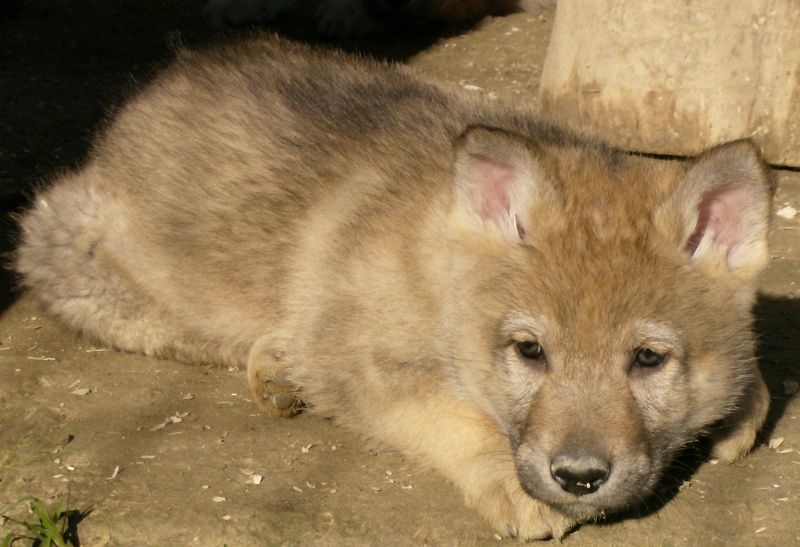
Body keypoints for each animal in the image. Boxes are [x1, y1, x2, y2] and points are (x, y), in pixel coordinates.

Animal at [15, 37, 772, 540]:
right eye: (530, 351)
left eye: (648, 359)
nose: (579, 477)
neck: (440, 271)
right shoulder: (360, 361)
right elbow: (457, 415)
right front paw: (513, 483)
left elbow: (756, 385)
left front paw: (738, 406)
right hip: (73, 250)